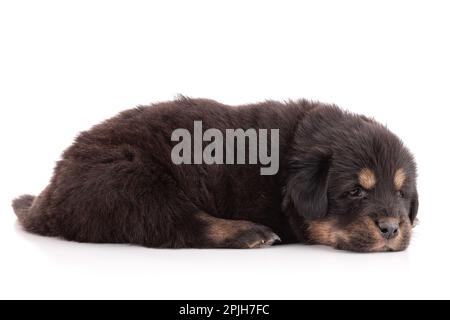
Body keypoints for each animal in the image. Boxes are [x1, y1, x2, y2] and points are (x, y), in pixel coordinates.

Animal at [11, 97, 418, 252]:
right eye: (354, 191)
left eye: (401, 193)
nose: (391, 228)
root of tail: (48, 197)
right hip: (131, 179)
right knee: (177, 224)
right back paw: (249, 233)